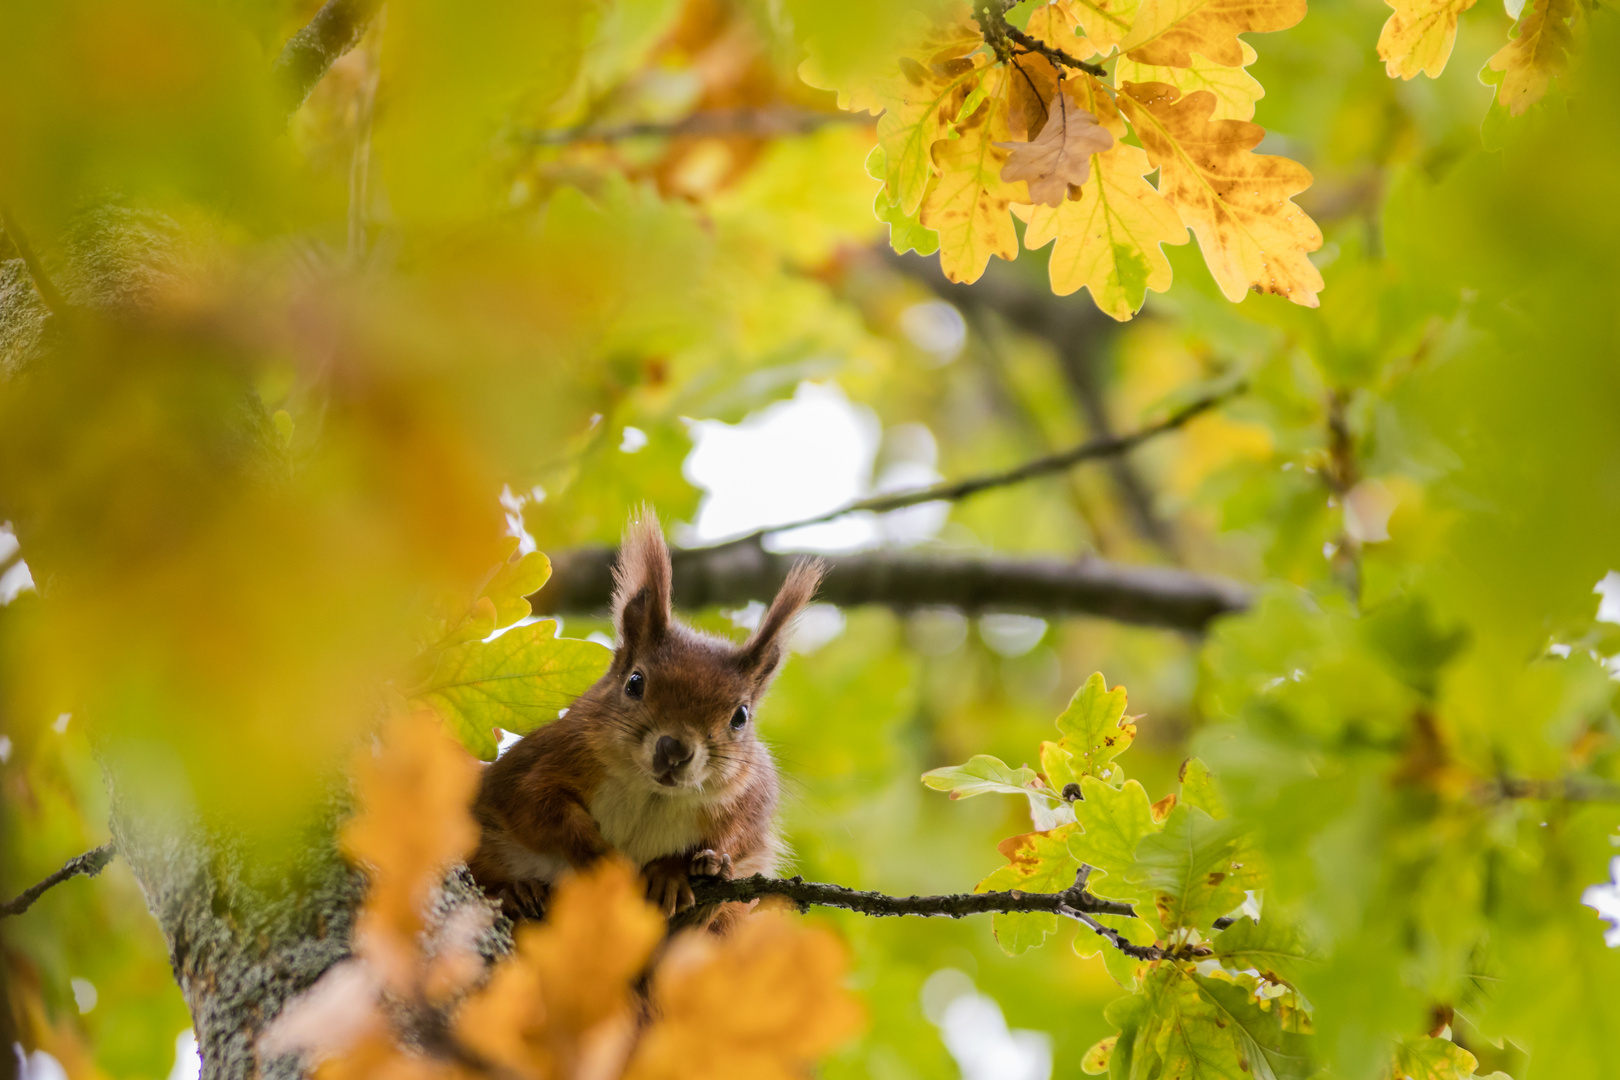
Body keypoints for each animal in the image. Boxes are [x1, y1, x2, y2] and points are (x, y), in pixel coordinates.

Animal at [469, 518, 822, 932]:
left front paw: (676, 871)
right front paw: (600, 856)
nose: (675, 749)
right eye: (634, 683)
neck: (650, 792)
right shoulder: (538, 764)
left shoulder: (751, 800)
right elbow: (541, 809)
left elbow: (740, 840)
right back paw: (518, 894)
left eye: (741, 716)